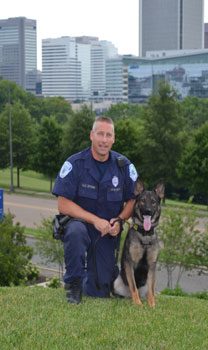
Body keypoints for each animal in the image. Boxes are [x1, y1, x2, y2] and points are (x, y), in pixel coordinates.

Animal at [113, 178, 165, 306]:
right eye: (142, 200)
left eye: (153, 202)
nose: (148, 211)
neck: (144, 234)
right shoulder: (130, 263)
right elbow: (133, 286)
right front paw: (138, 304)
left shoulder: (152, 266)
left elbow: (151, 290)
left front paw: (152, 305)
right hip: (116, 282)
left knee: (151, 290)